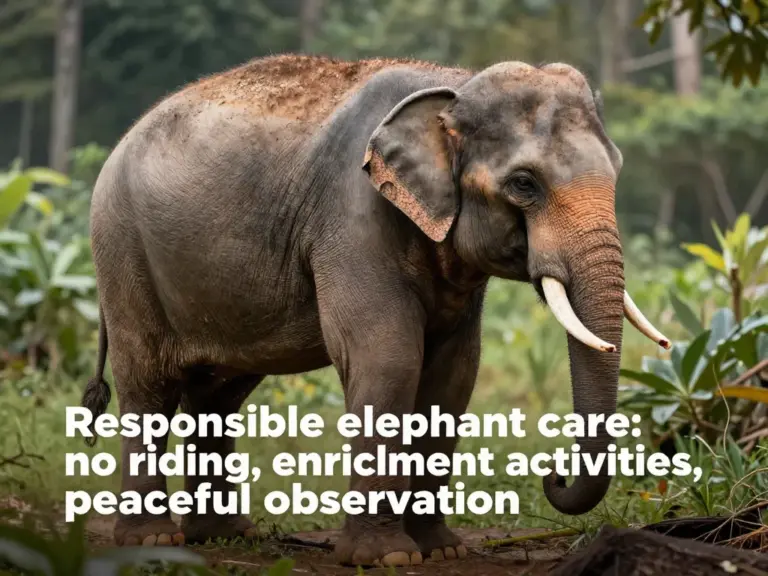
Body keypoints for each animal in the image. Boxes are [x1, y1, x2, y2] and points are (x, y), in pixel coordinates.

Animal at [82, 54, 669, 567]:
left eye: (617, 171)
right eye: (524, 184)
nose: (553, 474)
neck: (454, 85)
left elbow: (454, 375)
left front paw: (442, 551)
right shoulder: (352, 217)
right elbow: (388, 359)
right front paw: (385, 557)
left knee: (217, 396)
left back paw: (226, 536)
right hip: (122, 250)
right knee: (149, 383)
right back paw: (151, 538)